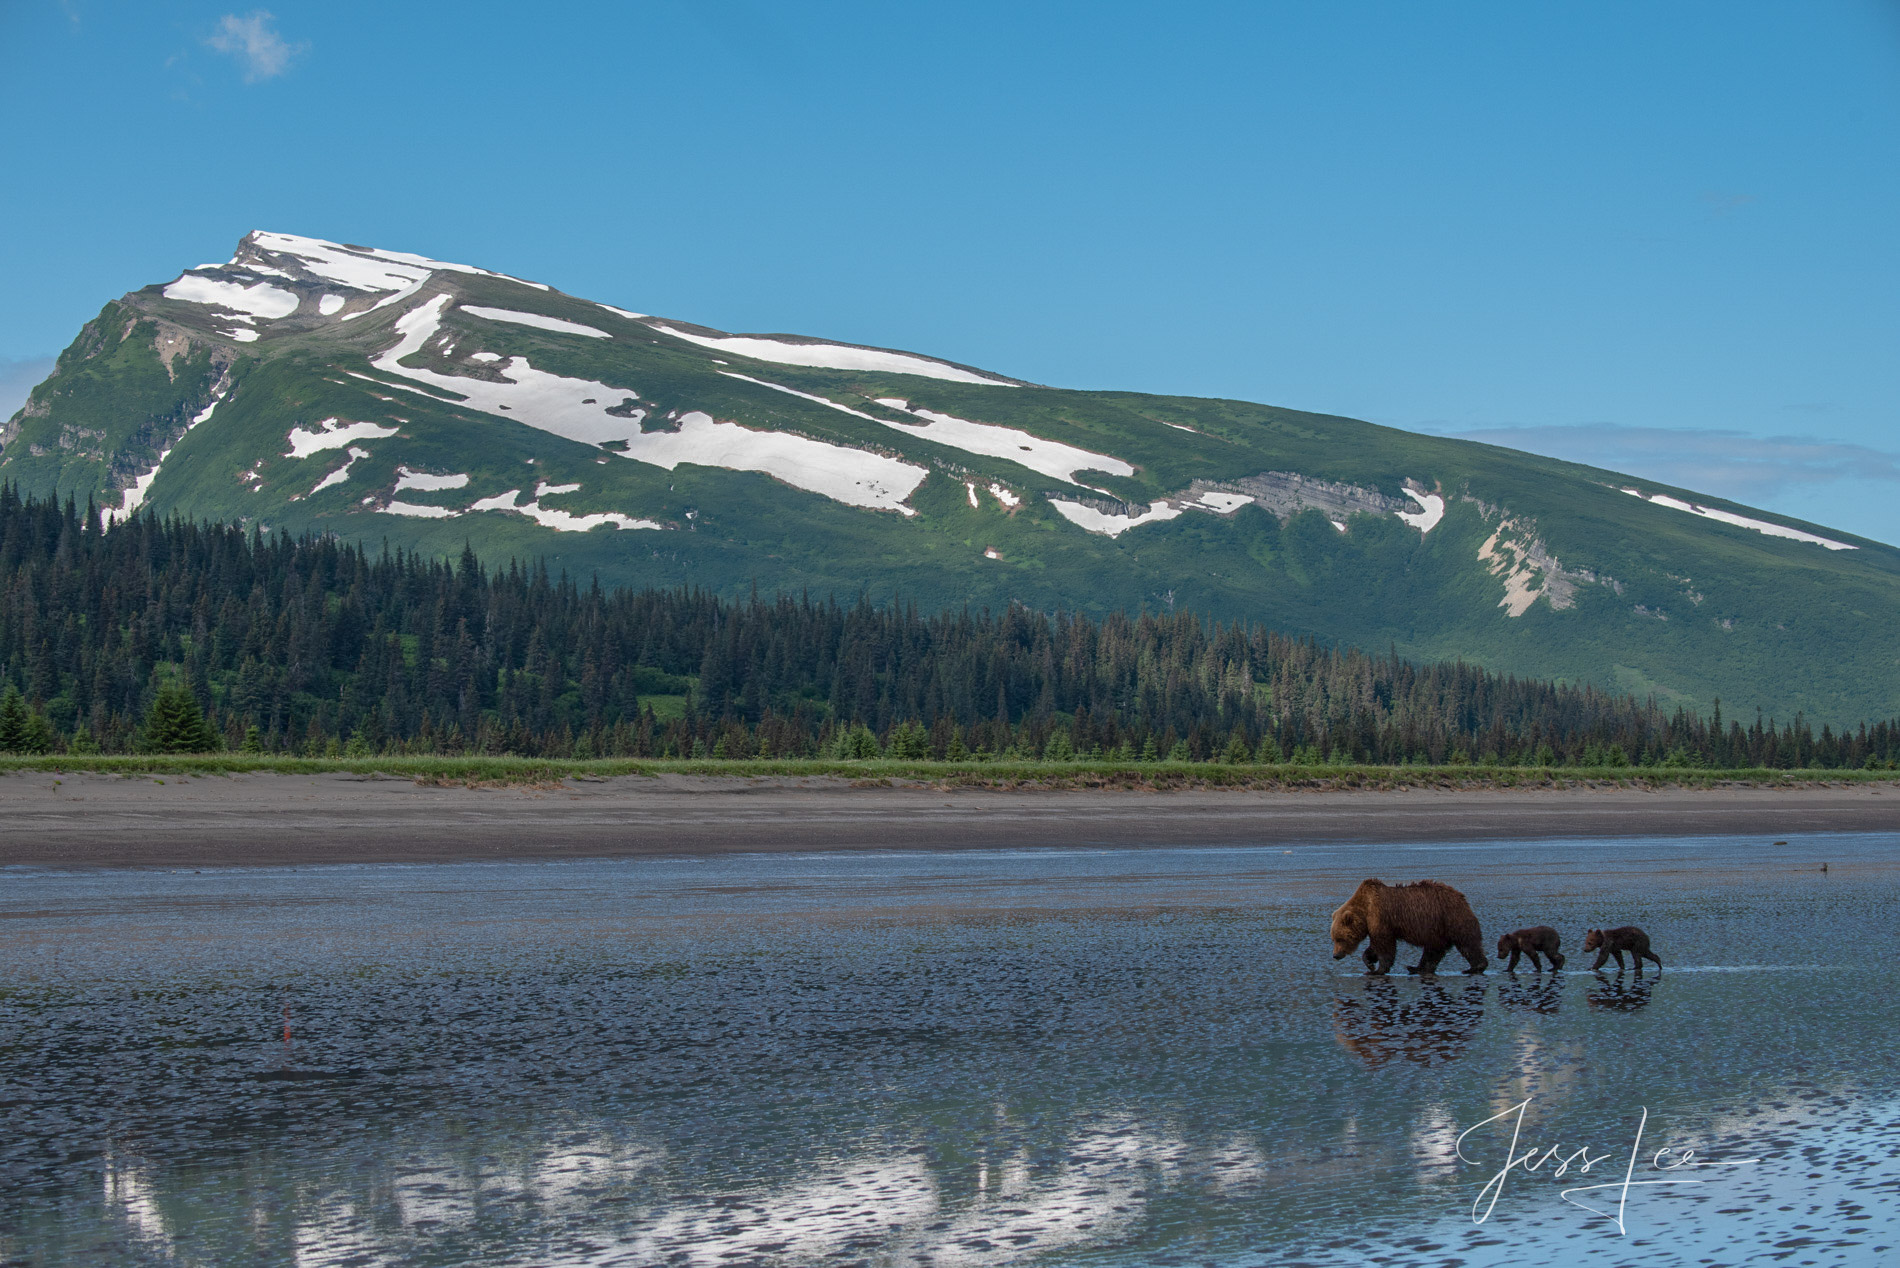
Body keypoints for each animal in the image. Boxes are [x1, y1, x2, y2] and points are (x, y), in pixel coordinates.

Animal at [1330, 882, 1489, 980]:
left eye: (1339, 938)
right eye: (1333, 938)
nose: (1336, 955)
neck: (1365, 909)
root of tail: (1462, 897)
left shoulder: (1381, 919)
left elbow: (1385, 946)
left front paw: (1376, 970)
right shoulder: (1375, 925)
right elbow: (1375, 946)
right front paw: (1369, 962)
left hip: (1452, 918)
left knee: (1467, 943)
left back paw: (1474, 967)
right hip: (1437, 931)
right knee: (1433, 951)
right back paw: (1416, 968)